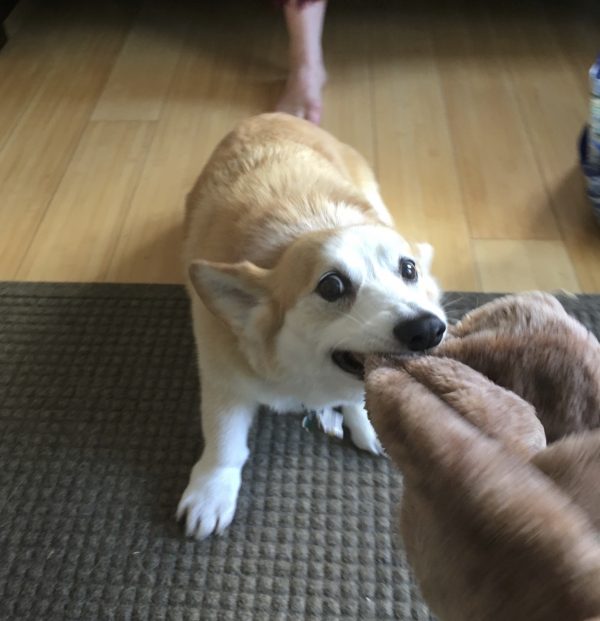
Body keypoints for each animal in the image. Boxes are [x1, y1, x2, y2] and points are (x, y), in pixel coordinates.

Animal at [176, 114, 442, 540]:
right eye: (332, 286)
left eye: (408, 270)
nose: (429, 329)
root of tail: (273, 115)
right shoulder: (222, 380)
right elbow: (224, 443)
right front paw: (210, 495)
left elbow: (357, 400)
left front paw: (366, 423)